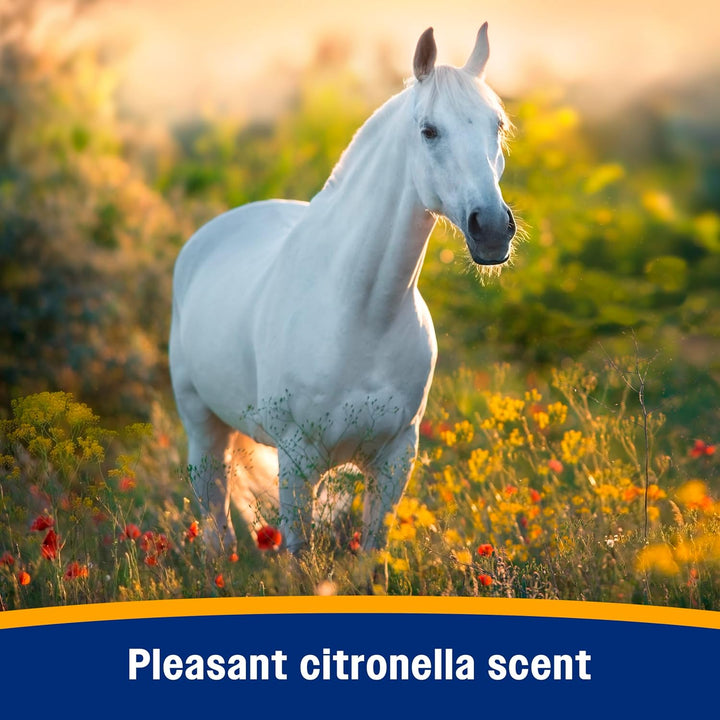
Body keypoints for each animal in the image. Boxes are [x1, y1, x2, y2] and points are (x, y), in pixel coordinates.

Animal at [169, 24, 516, 554]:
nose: (493, 229)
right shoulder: (297, 460)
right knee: (216, 527)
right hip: (203, 431)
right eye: (429, 130)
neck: (363, 313)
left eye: (496, 125)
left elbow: (372, 555)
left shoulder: (395, 459)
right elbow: (297, 555)